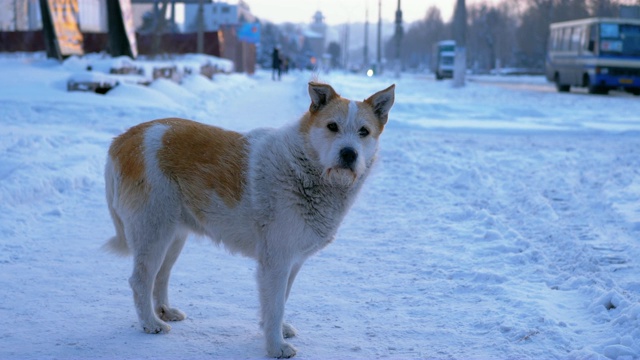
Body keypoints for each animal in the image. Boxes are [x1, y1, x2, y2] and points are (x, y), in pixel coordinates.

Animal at [104, 81, 392, 358]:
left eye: (364, 132)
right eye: (332, 126)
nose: (349, 153)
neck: (303, 166)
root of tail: (122, 138)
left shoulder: (292, 261)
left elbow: (281, 301)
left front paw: (277, 332)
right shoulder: (276, 261)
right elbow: (275, 306)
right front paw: (276, 347)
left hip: (174, 237)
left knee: (161, 276)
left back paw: (165, 312)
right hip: (154, 233)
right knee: (141, 280)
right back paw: (150, 324)